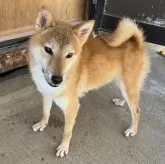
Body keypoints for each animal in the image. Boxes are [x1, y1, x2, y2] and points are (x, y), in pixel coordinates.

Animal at [28, 9, 150, 158]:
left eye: (70, 55)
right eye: (48, 50)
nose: (57, 79)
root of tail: (137, 41)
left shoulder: (72, 107)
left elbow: (67, 131)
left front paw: (64, 146)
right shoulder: (47, 95)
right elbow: (46, 112)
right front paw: (42, 124)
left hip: (128, 85)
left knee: (136, 110)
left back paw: (133, 129)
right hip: (121, 83)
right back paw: (122, 101)